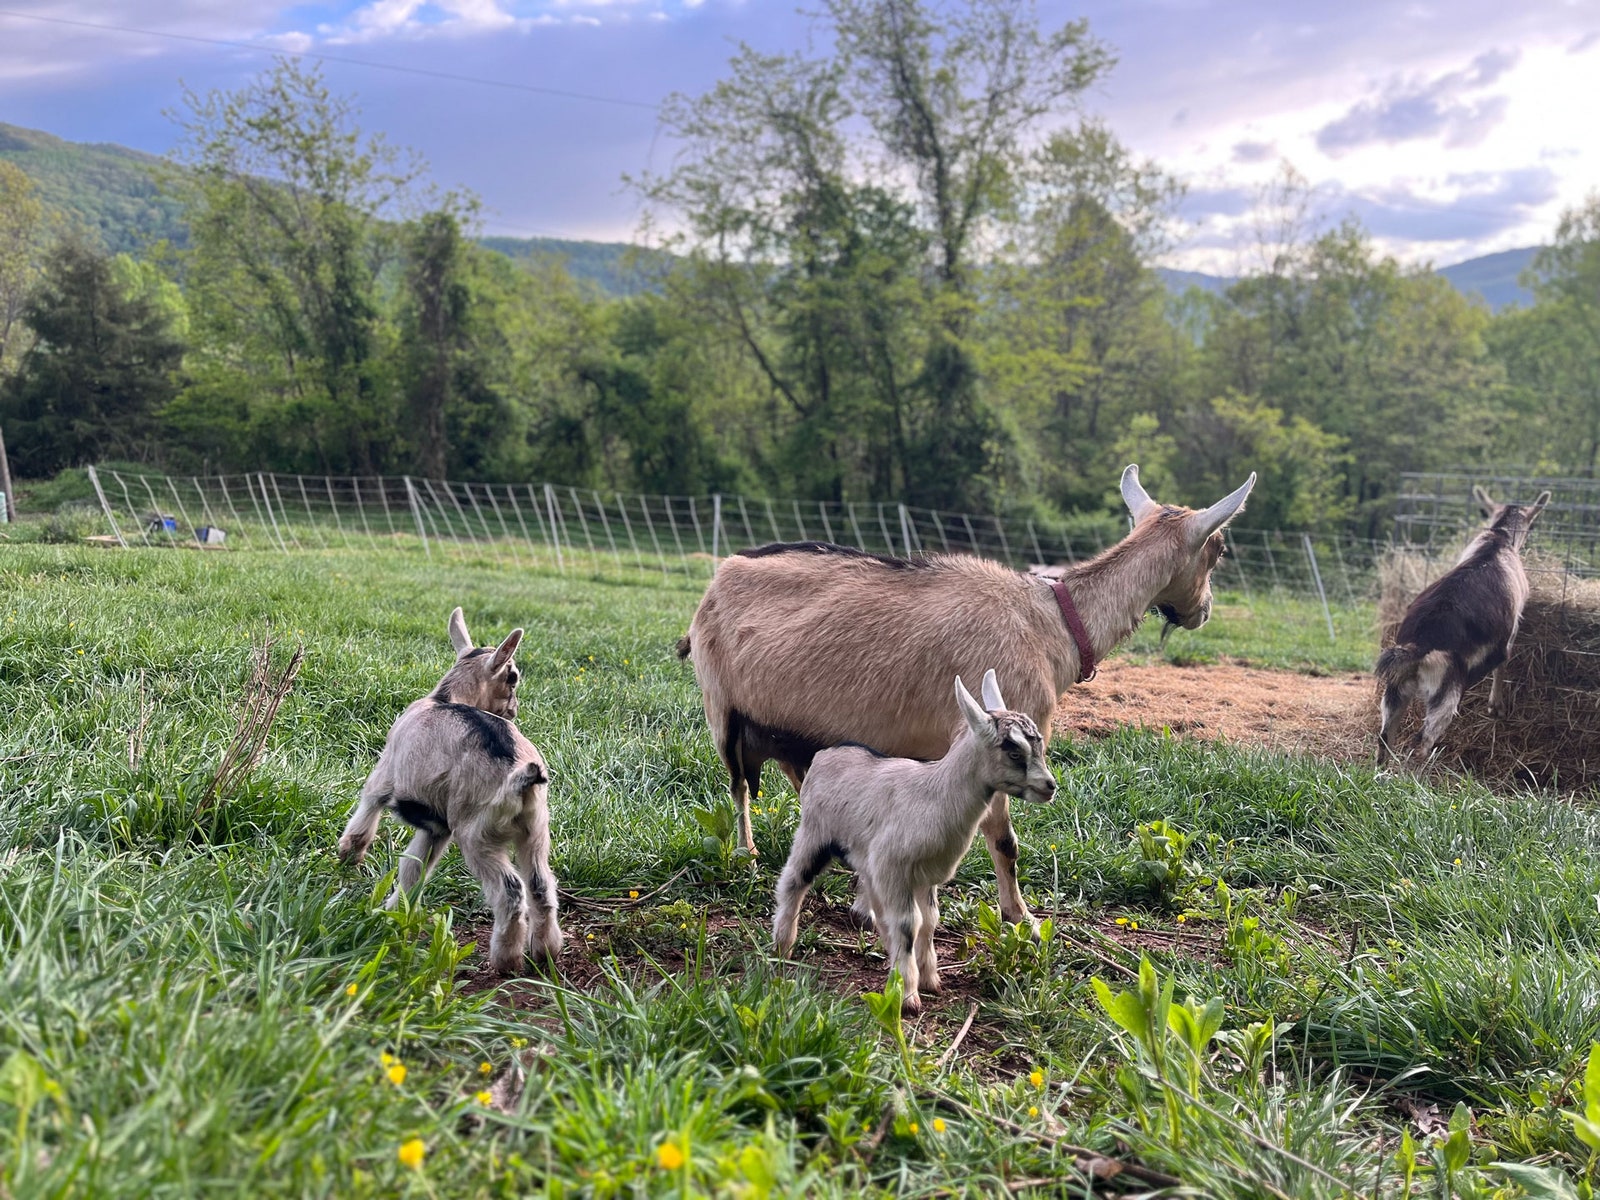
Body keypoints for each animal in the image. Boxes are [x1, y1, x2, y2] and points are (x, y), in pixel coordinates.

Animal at [675, 464, 1248, 934]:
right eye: (1218, 548)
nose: (1204, 610)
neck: (1054, 622)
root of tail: (717, 580)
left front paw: (867, 904)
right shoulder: (991, 736)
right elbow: (1003, 840)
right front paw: (1022, 917)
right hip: (722, 709)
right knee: (739, 788)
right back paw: (747, 855)